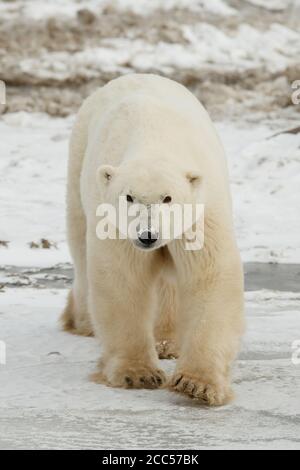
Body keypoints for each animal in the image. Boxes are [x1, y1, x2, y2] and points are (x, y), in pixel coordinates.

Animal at [60, 73, 244, 404]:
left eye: (168, 198)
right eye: (129, 196)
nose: (148, 235)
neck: (155, 138)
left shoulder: (200, 213)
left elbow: (209, 276)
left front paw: (197, 385)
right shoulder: (117, 226)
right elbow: (123, 280)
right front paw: (138, 373)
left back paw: (166, 341)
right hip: (78, 165)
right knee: (80, 245)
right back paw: (82, 321)